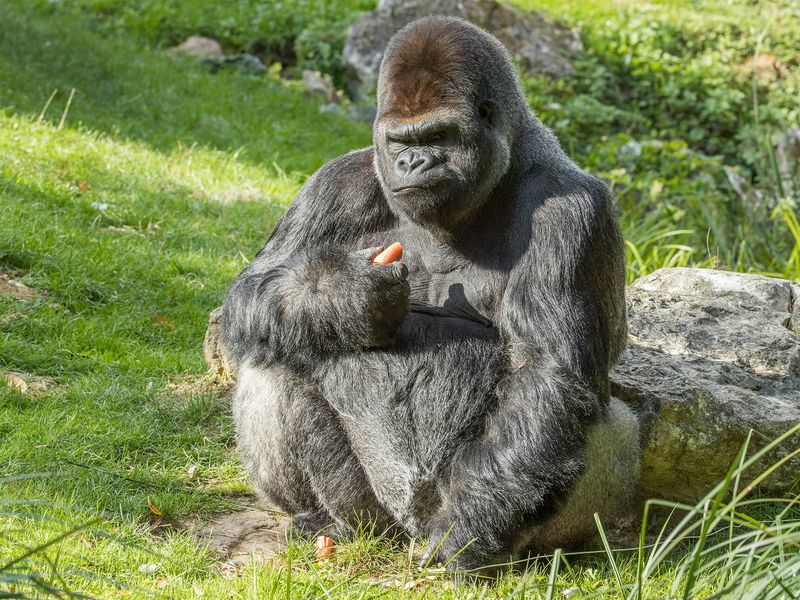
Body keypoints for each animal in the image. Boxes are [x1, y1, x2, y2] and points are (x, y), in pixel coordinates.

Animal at [222, 15, 640, 572]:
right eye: (399, 140)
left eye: (439, 135)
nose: (412, 162)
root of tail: (409, 530)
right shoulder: (334, 183)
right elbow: (253, 288)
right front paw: (344, 295)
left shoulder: (568, 210)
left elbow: (546, 371)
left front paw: (468, 531)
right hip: (378, 515)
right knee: (274, 356)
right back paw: (327, 521)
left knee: (602, 419)